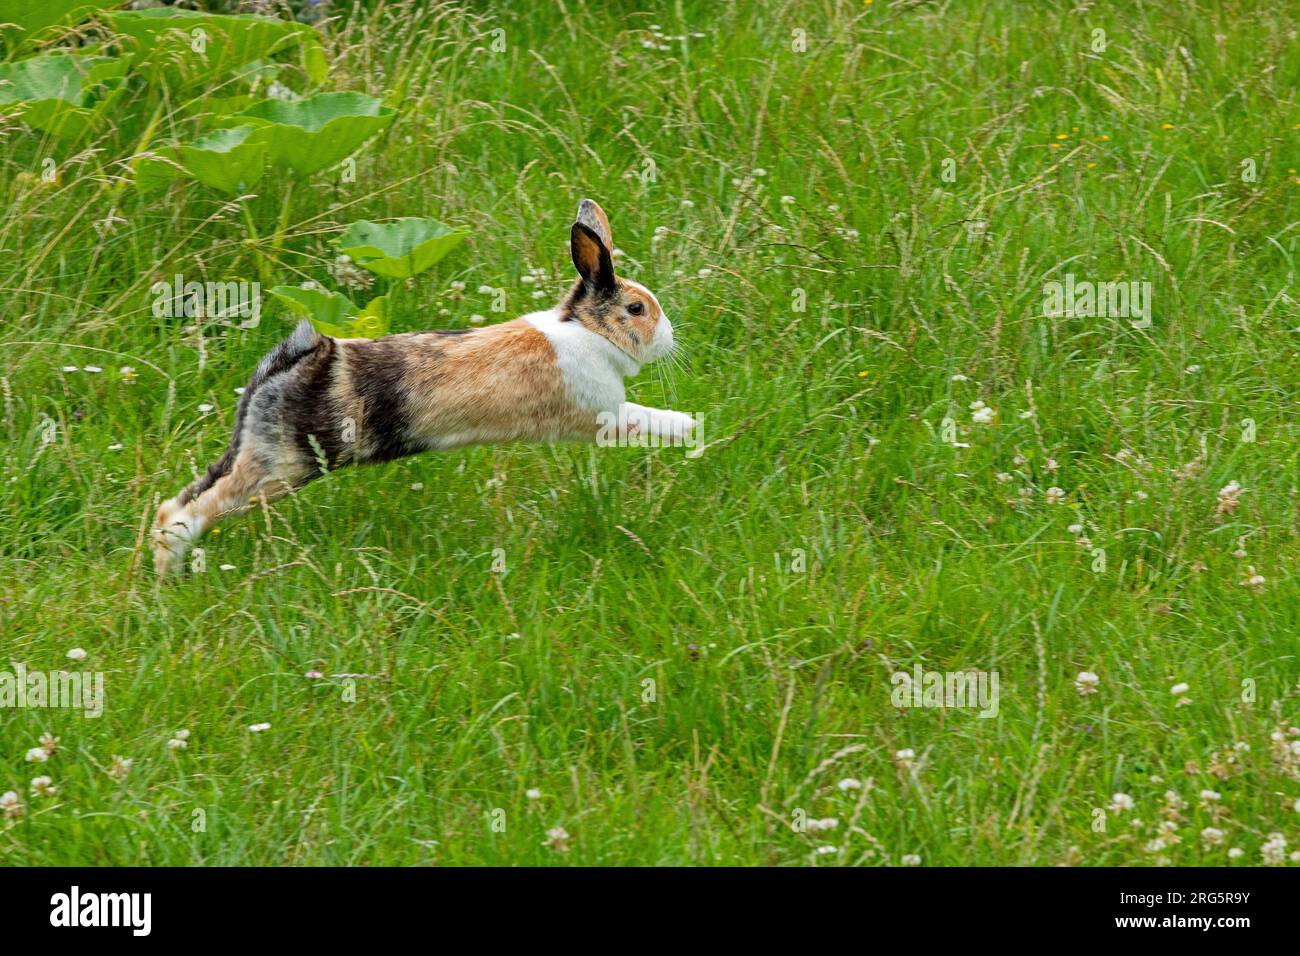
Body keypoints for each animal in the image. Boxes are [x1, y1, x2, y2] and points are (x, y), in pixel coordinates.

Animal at [150, 199, 696, 574]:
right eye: (636, 309)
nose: (670, 338)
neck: (587, 329)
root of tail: (301, 358)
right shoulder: (603, 416)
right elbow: (644, 419)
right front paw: (690, 428)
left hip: (251, 452)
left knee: (177, 502)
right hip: (283, 466)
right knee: (193, 511)